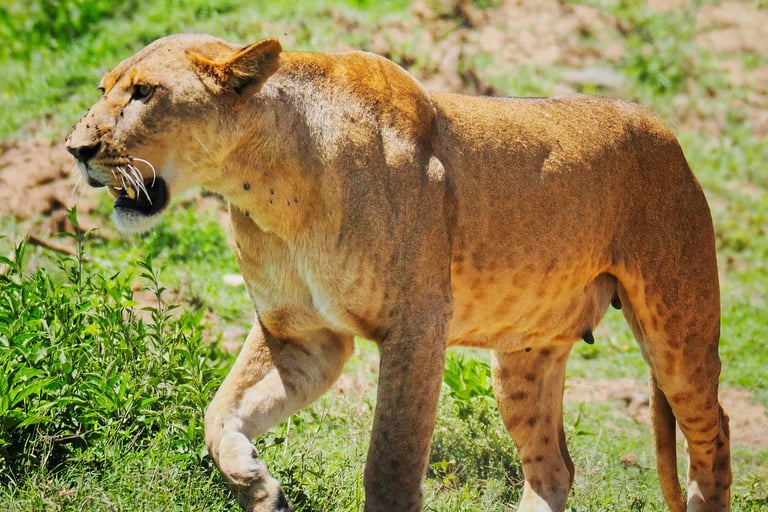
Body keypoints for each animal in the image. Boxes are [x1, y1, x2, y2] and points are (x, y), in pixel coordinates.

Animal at [65, 34, 731, 512]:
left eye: (144, 93)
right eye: (103, 87)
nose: (76, 149)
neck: (269, 182)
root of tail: (662, 128)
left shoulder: (417, 327)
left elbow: (390, 465)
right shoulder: (301, 336)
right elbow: (218, 414)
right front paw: (259, 487)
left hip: (678, 330)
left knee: (713, 433)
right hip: (524, 357)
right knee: (553, 467)